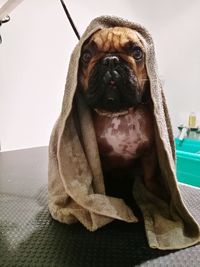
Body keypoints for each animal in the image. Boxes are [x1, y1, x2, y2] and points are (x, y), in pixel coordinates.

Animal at [78, 26, 159, 204]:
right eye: (86, 56)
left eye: (137, 52)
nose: (110, 60)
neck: (118, 112)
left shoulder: (149, 155)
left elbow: (150, 179)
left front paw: (153, 196)